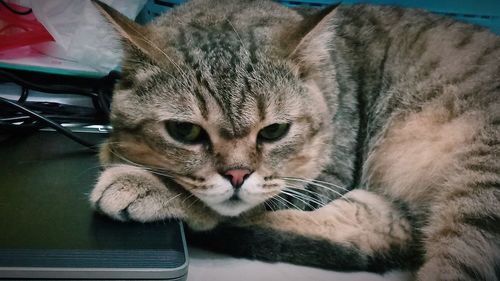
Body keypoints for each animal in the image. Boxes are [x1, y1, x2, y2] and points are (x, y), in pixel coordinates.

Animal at [90, 1, 500, 278]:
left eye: (274, 131)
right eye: (185, 131)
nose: (236, 176)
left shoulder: (323, 180)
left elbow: (223, 200)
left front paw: (144, 181)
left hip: (479, 193)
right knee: (376, 233)